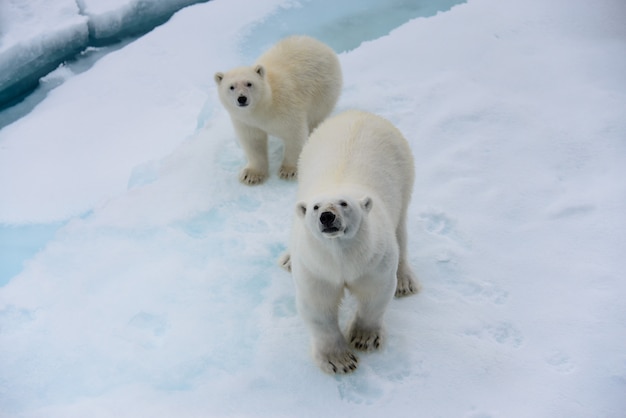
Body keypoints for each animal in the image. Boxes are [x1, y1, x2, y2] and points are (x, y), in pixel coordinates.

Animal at [214, 35, 342, 185]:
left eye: (249, 83)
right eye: (231, 87)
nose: (242, 98)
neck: (263, 107)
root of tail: (320, 44)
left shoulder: (286, 106)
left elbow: (294, 134)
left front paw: (288, 171)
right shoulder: (246, 121)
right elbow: (253, 142)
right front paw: (251, 175)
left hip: (323, 91)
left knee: (316, 118)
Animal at [286, 109, 416, 374]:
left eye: (344, 203)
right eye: (316, 207)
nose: (327, 216)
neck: (342, 257)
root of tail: (358, 113)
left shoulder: (373, 260)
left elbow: (375, 293)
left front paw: (363, 339)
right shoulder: (316, 266)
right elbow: (318, 305)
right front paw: (339, 361)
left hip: (404, 172)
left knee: (401, 232)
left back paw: (405, 281)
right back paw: (286, 260)